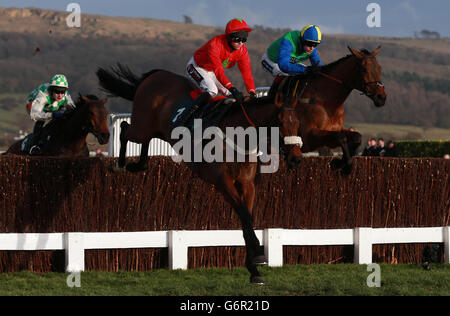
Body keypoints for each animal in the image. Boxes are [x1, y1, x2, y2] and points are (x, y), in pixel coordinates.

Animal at [96, 65, 304, 284]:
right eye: (279, 122)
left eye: (297, 122)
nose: (296, 159)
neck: (237, 136)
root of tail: (156, 74)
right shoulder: (222, 181)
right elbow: (245, 215)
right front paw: (259, 254)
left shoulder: (246, 184)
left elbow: (246, 219)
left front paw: (254, 269)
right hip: (142, 126)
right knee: (125, 129)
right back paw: (119, 165)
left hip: (156, 129)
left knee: (143, 141)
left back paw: (138, 165)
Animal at [274, 46, 386, 174]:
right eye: (364, 69)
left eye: (379, 68)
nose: (381, 97)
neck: (328, 103)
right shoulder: (308, 138)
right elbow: (340, 136)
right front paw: (345, 165)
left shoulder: (333, 132)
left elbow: (356, 137)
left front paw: (342, 162)